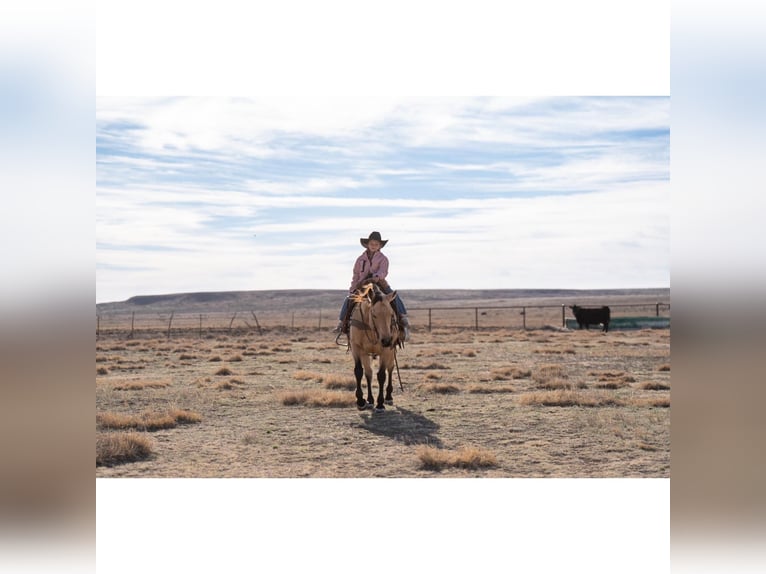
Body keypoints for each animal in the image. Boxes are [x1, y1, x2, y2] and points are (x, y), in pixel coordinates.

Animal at [350, 284, 404, 412]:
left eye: (391, 314)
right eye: (374, 314)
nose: (386, 340)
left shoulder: (386, 351)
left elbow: (381, 375)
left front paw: (380, 403)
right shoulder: (356, 348)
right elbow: (359, 371)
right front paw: (361, 401)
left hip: (391, 351)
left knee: (390, 368)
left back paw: (388, 397)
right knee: (368, 373)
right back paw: (370, 399)